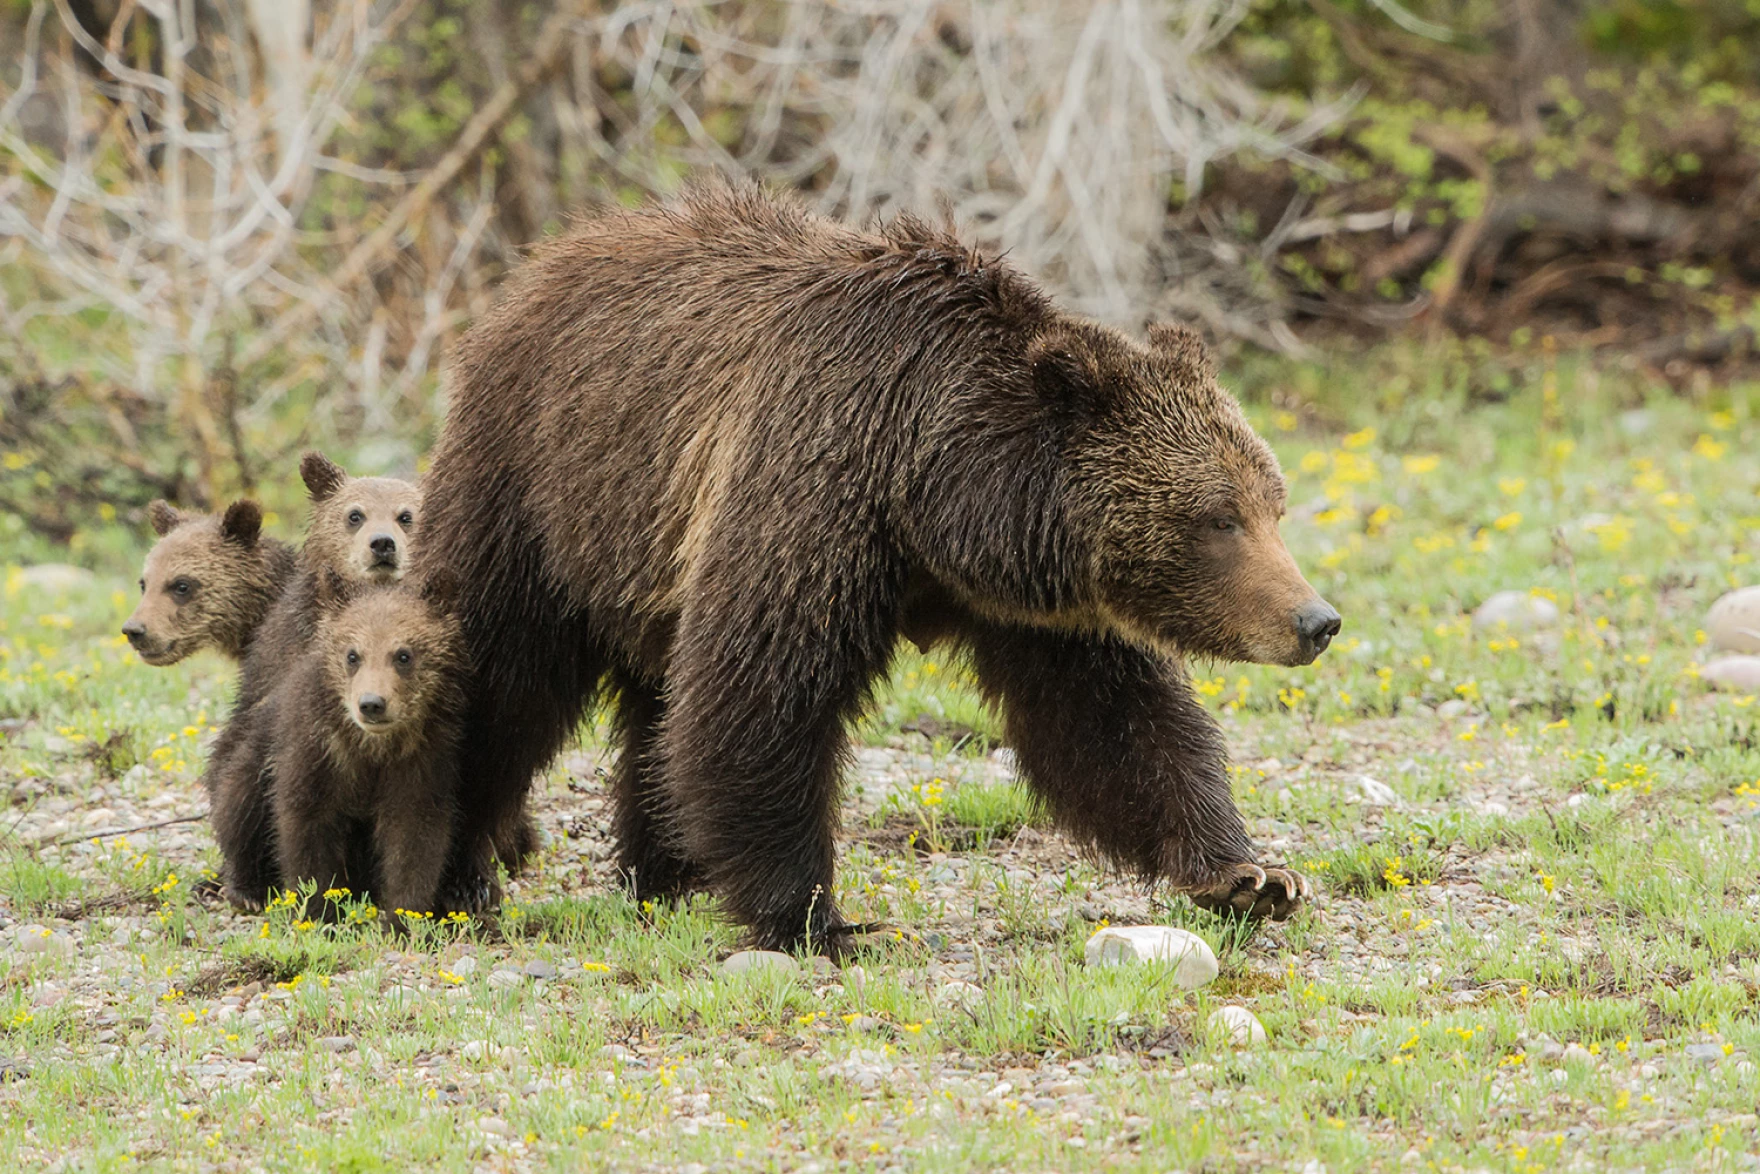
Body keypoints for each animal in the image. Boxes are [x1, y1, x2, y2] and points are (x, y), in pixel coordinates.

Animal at [264, 577, 464, 915]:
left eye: (403, 655)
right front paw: (317, 910)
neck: (373, 748)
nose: (372, 704)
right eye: (352, 655)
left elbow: (414, 839)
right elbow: (306, 829)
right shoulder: (318, 752)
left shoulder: (423, 760)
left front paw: (403, 915)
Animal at [418, 183, 1337, 957]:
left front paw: (1251, 874)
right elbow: (762, 693)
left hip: (642, 555)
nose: (1316, 621)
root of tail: (541, 262)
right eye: (1219, 519)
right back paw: (459, 876)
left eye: (1274, 504)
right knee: (501, 680)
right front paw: (821, 920)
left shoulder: (1036, 605)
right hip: (539, 487)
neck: (934, 493)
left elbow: (1113, 720)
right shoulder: (818, 482)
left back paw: (671, 873)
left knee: (656, 705)